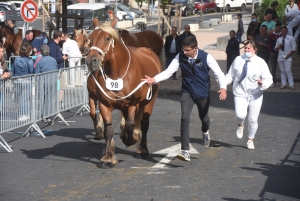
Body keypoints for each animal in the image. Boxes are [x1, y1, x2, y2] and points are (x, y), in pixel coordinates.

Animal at [85, 18, 162, 168]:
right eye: (90, 38)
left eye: (107, 38)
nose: (91, 61)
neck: (117, 74)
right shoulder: (104, 104)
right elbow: (109, 131)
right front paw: (108, 158)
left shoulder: (133, 103)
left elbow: (130, 125)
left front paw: (130, 139)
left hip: (149, 101)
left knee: (144, 124)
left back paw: (142, 149)